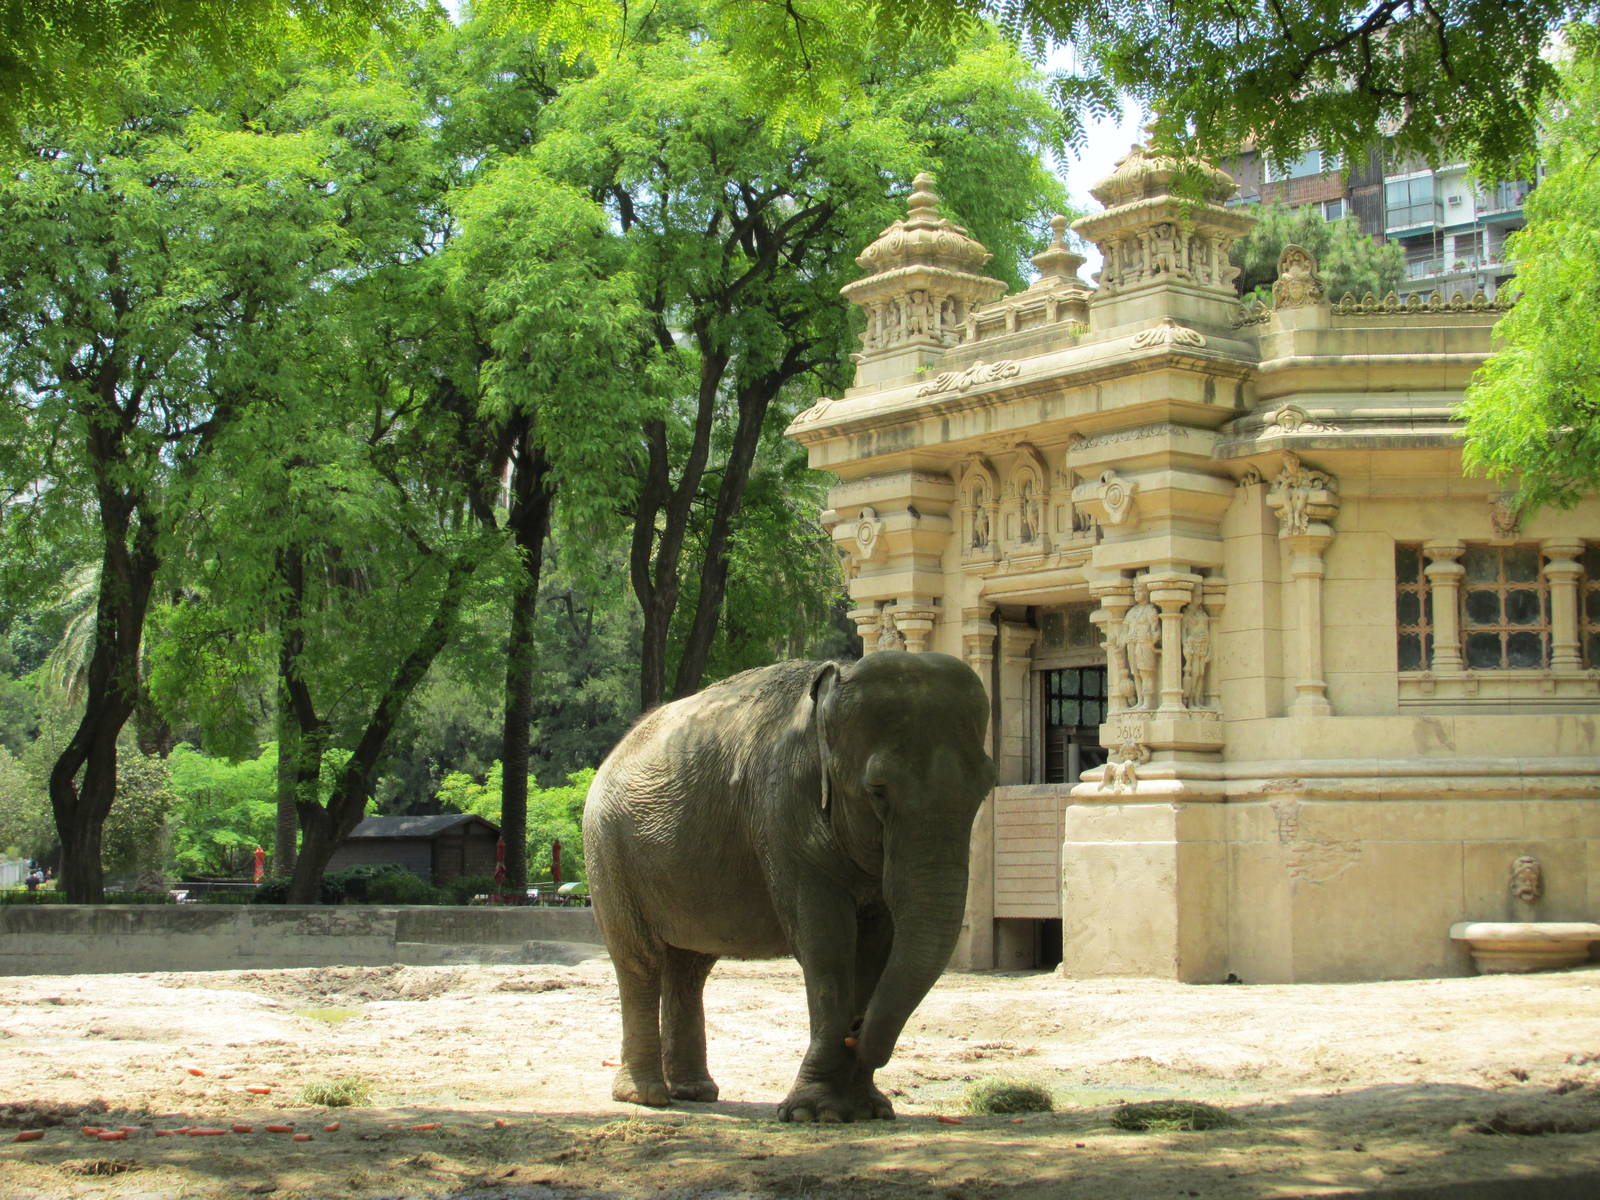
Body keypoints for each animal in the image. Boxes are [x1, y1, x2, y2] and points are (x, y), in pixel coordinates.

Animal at [583, 650, 994, 1122]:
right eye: (877, 790)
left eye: (986, 789)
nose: (857, 1030)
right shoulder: (782, 807)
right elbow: (825, 942)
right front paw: (814, 1114)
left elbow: (876, 947)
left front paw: (868, 1109)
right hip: (607, 851)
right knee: (640, 959)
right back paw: (646, 1097)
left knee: (689, 967)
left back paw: (695, 1092)